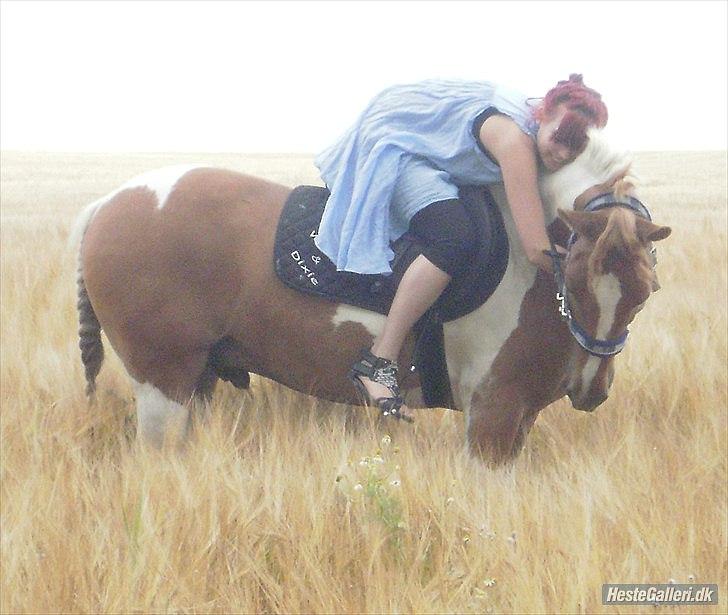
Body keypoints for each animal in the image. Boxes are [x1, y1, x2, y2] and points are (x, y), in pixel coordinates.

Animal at [74, 131, 671, 462]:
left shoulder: (517, 416)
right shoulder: (494, 414)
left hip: (197, 383)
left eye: (645, 296)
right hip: (163, 385)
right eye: (576, 283)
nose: (591, 390)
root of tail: (103, 206)